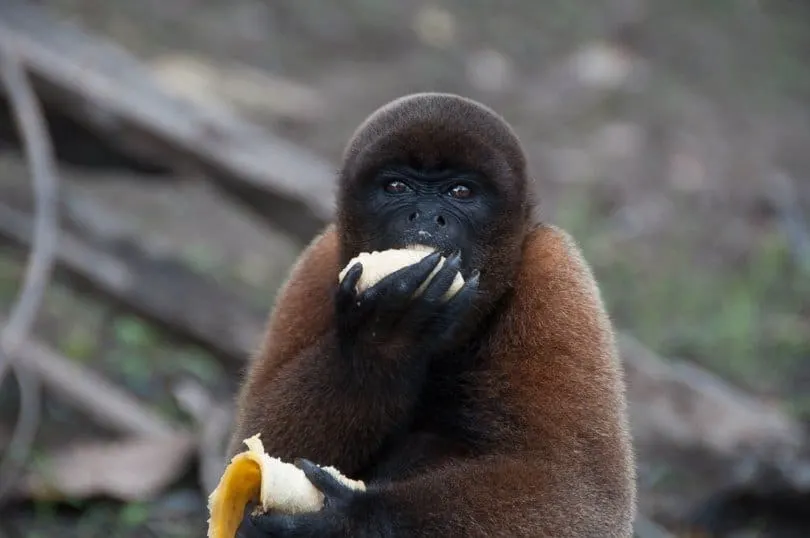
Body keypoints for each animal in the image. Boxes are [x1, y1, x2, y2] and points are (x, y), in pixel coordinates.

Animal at [226, 92, 632, 536]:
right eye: (397, 186)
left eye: (461, 192)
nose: (424, 217)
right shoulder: (317, 264)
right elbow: (256, 451)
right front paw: (383, 340)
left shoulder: (555, 273)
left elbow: (577, 491)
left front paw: (348, 518)